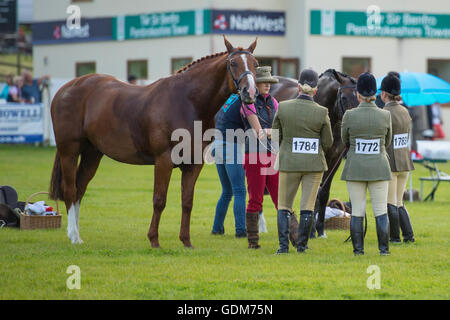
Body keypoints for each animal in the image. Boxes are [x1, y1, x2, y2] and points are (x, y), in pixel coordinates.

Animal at [49, 37, 258, 248]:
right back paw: (73, 235)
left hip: (92, 154)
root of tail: (65, 89)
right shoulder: (163, 160)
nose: (250, 92)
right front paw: (154, 240)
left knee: (80, 189)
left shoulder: (193, 164)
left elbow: (187, 202)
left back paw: (77, 236)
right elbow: (159, 200)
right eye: (233, 63)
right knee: (70, 190)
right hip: (69, 152)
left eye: (255, 64)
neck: (187, 102)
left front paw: (186, 241)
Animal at [268, 68, 356, 238]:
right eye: (343, 97)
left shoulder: (334, 159)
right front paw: (311, 231)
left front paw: (320, 230)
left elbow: (323, 192)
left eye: (359, 96)